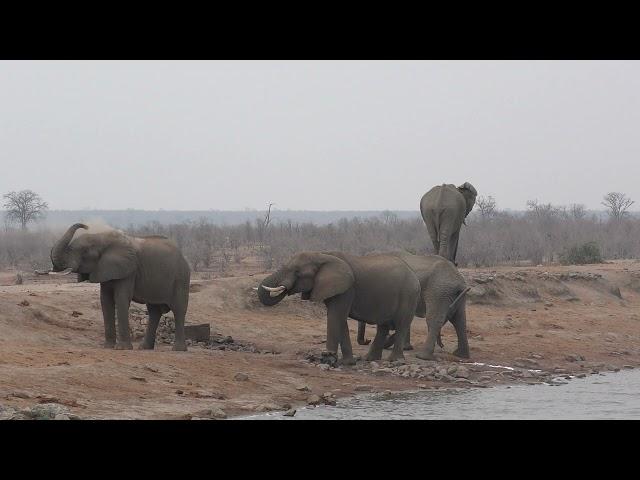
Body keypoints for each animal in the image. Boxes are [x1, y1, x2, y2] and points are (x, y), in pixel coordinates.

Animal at [36, 223, 191, 350]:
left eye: (84, 252)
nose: (86, 225)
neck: (101, 238)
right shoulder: (104, 269)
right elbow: (105, 300)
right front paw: (108, 347)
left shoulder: (129, 270)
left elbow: (121, 299)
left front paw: (122, 348)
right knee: (154, 311)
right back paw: (144, 348)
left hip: (181, 278)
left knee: (178, 310)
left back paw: (178, 349)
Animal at [255, 251, 420, 364]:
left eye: (297, 272)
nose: (366, 340)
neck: (323, 255)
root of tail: (414, 274)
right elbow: (340, 319)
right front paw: (347, 363)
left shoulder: (347, 289)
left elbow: (336, 316)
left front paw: (328, 357)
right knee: (383, 326)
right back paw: (369, 359)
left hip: (409, 294)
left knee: (401, 324)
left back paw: (395, 361)